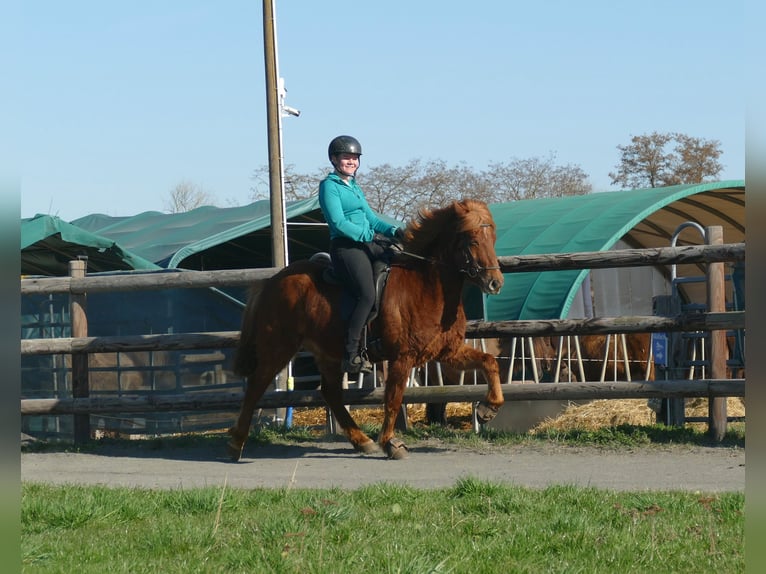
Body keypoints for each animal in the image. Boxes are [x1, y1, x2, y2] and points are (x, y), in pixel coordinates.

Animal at [228, 198, 505, 460]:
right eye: (472, 240)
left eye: (492, 238)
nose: (495, 283)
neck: (425, 286)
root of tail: (271, 282)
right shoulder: (402, 358)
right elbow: (393, 399)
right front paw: (391, 443)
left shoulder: (447, 352)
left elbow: (489, 362)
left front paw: (488, 409)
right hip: (279, 347)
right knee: (255, 387)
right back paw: (236, 443)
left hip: (327, 354)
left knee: (330, 394)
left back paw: (362, 441)